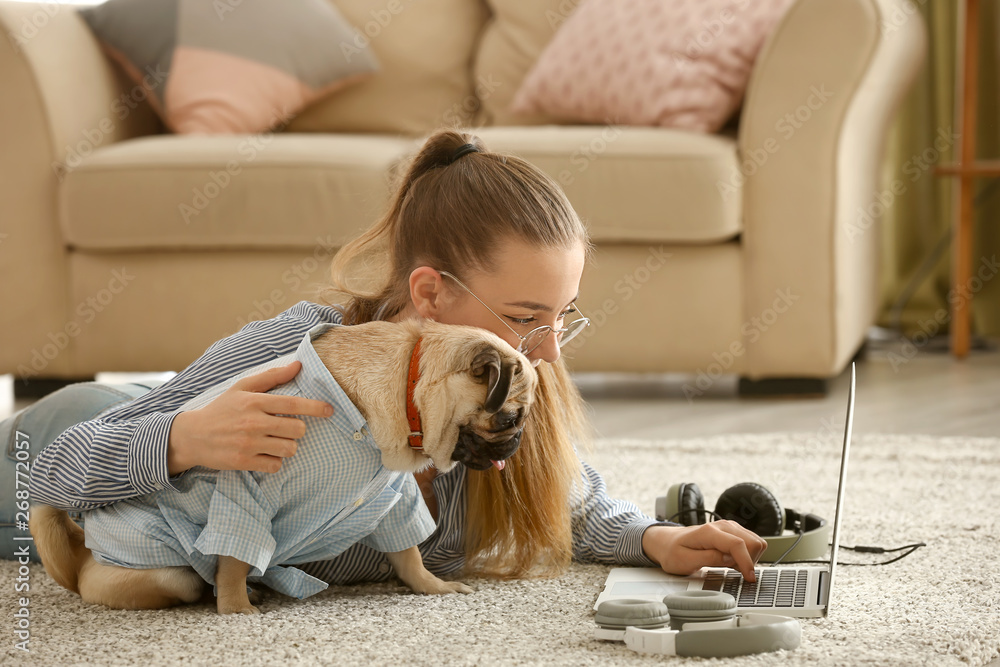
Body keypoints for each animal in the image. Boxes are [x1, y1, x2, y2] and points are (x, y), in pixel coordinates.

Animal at [29, 320, 540, 612]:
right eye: (511, 418)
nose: (516, 442)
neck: (407, 387)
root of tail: (82, 560)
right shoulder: (249, 482)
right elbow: (236, 555)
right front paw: (237, 611)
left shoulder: (391, 497)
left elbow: (408, 552)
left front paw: (431, 586)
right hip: (166, 574)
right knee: (193, 579)